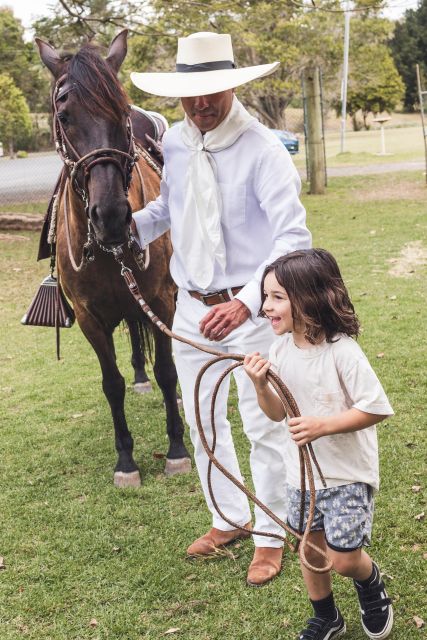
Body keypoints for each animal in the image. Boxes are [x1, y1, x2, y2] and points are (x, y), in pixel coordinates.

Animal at [36, 30, 191, 488]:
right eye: (63, 116)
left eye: (121, 111)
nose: (111, 217)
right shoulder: (91, 317)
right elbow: (112, 383)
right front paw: (126, 459)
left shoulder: (161, 300)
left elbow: (167, 371)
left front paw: (176, 450)